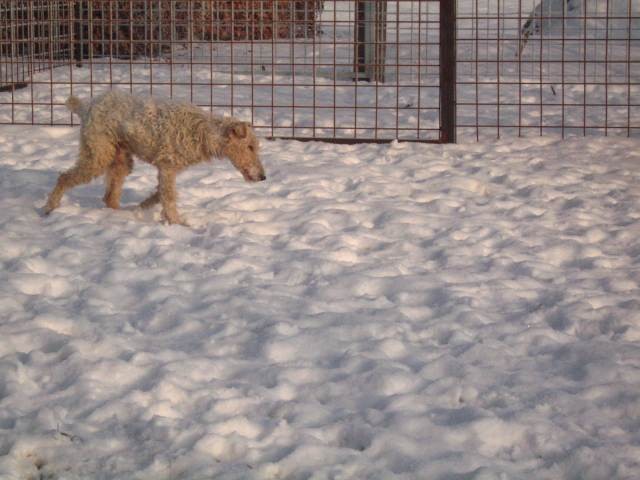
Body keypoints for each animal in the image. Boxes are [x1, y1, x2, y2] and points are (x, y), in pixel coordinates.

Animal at [44, 91, 266, 225]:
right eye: (250, 147)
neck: (201, 132)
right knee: (64, 177)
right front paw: (177, 223)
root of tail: (86, 106)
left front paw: (143, 208)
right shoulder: (167, 167)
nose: (263, 177)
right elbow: (168, 197)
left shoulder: (167, 170)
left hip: (121, 160)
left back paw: (120, 215)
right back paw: (49, 207)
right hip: (98, 156)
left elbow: (160, 194)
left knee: (109, 197)